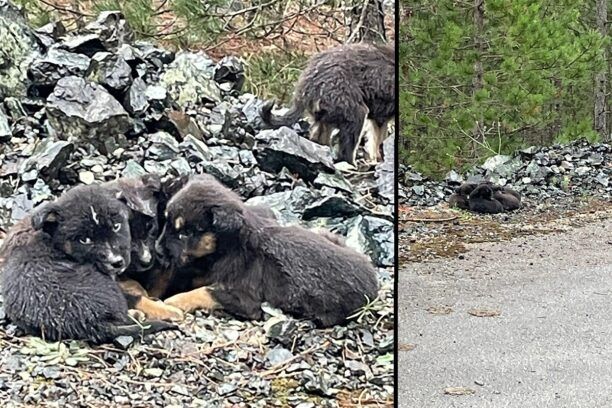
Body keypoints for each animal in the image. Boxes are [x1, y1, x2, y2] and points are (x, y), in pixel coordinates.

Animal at [155, 174, 380, 326]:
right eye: (166, 221)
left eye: (186, 233)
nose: (157, 250)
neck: (232, 245)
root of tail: (374, 285)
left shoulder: (245, 299)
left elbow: (205, 291)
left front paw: (174, 300)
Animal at [260, 43, 394, 165]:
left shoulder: (380, 116)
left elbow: (377, 139)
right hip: (352, 109)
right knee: (346, 147)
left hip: (327, 113)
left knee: (319, 137)